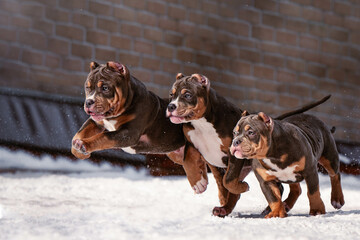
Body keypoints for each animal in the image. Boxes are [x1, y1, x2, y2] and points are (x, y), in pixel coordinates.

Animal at [71, 62, 207, 193]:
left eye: (105, 88)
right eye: (87, 87)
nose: (88, 102)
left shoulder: (128, 134)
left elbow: (104, 136)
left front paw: (84, 145)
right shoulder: (96, 122)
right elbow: (79, 133)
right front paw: (79, 151)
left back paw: (199, 183)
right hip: (177, 154)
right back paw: (201, 182)